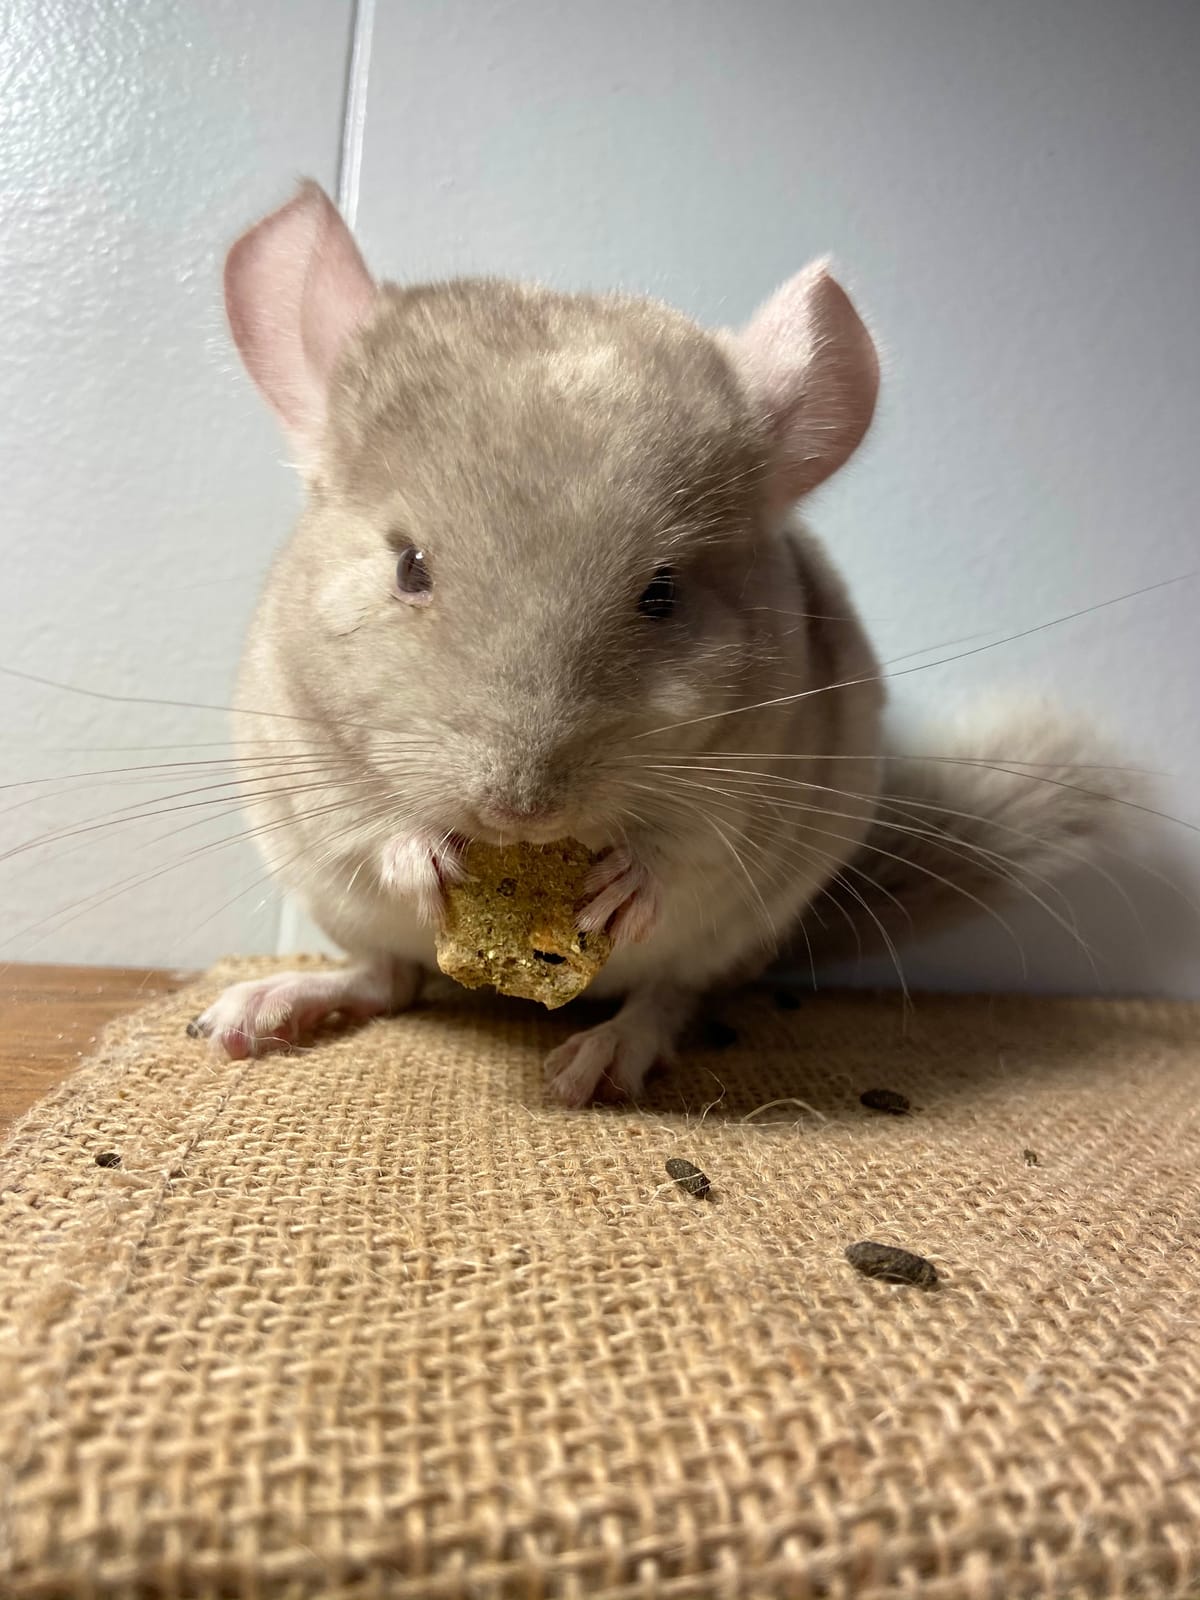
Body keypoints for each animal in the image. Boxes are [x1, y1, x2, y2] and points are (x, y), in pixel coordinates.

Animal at [194, 180, 1120, 1105]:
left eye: (663, 593)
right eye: (409, 567)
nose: (521, 813)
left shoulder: (755, 784)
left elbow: (688, 848)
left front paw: (624, 883)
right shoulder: (303, 755)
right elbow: (368, 823)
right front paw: (421, 851)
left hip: (740, 929)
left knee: (669, 994)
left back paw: (599, 1061)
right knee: (386, 979)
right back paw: (256, 1011)